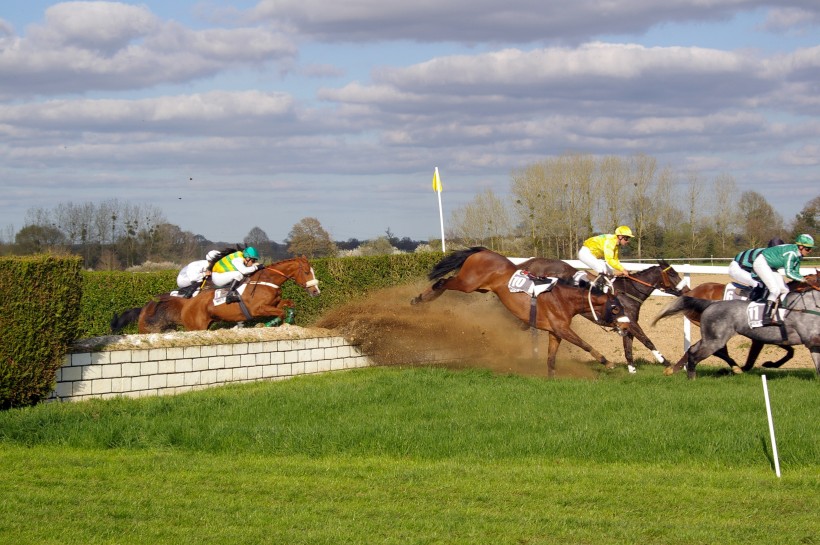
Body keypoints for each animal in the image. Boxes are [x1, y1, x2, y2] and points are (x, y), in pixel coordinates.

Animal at [111, 254, 320, 332]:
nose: (316, 291)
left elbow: (288, 304)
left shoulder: (273, 303)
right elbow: (280, 313)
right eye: (307, 271)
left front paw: (290, 317)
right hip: (194, 326)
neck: (266, 280)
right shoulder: (258, 308)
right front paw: (269, 323)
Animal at [408, 245, 628, 374]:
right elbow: (585, 345)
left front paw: (551, 378)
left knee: (444, 282)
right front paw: (607, 362)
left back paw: (422, 298)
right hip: (468, 283)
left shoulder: (555, 332)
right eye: (616, 309)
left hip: (479, 287)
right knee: (443, 282)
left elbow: (551, 359)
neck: (563, 298)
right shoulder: (562, 328)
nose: (626, 327)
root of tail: (483, 251)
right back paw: (421, 298)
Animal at [520, 256, 684, 370]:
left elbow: (628, 347)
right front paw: (667, 363)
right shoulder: (632, 323)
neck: (629, 292)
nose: (686, 290)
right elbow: (647, 341)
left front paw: (632, 370)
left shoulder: (626, 323)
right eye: (673, 274)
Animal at [652, 274, 820, 376]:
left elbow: (791, 351)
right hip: (714, 333)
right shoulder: (760, 338)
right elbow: (752, 360)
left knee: (695, 348)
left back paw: (673, 369)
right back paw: (733, 367)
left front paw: (770, 363)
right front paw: (749, 367)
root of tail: (692, 292)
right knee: (716, 350)